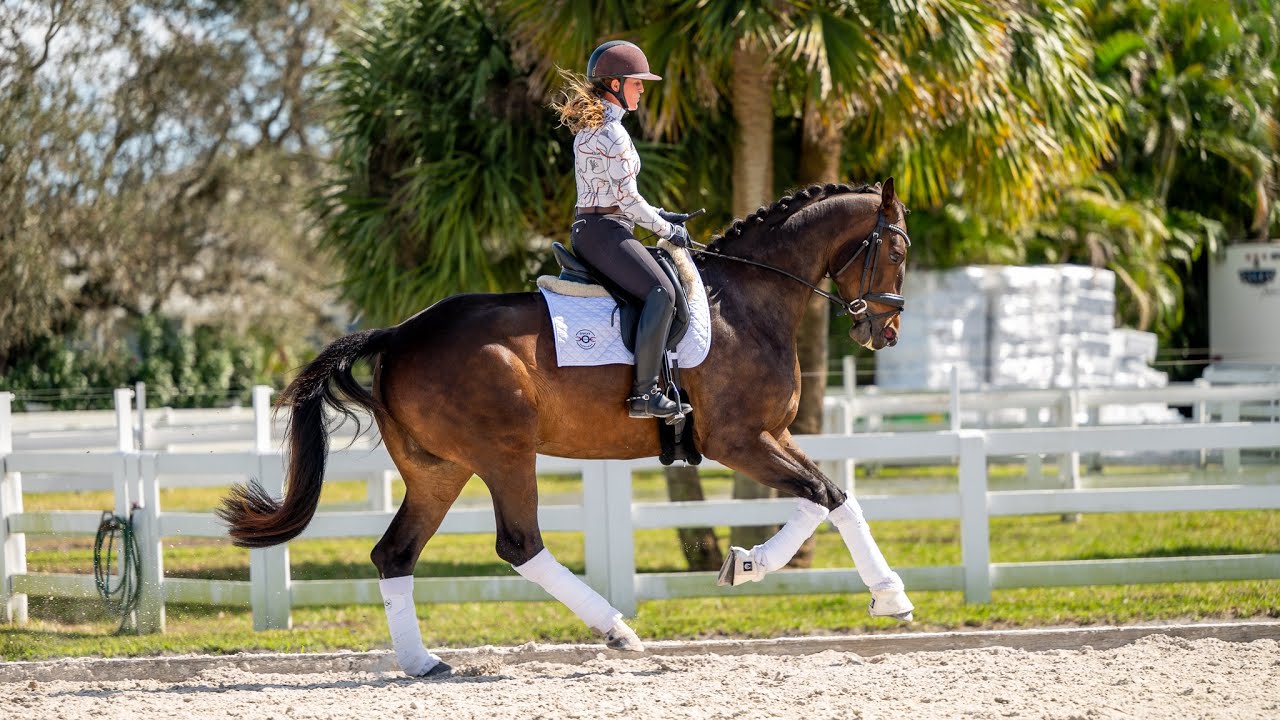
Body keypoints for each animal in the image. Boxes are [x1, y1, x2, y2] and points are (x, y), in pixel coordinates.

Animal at [218, 178, 914, 677]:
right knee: (519, 545)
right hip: (504, 454)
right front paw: (767, 569)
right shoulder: (738, 440)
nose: (885, 331)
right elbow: (822, 496)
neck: (747, 300)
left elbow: (833, 498)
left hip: (438, 471)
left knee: (395, 554)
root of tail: (401, 332)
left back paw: (423, 663)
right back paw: (618, 630)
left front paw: (872, 593)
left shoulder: (773, 436)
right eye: (899, 250)